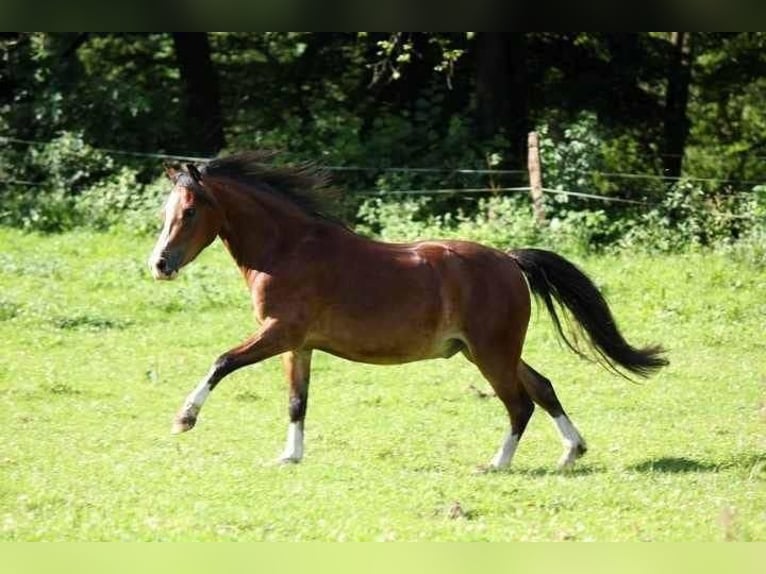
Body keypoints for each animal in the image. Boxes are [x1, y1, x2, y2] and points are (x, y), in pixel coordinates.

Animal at [148, 151, 667, 470]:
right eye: (165, 213)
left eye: (190, 211)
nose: (159, 264)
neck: (288, 250)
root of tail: (509, 259)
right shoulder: (298, 345)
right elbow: (297, 401)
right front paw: (289, 456)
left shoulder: (278, 333)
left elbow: (222, 362)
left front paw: (183, 419)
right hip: (488, 350)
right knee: (542, 387)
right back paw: (571, 452)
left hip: (491, 353)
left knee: (519, 403)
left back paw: (497, 464)